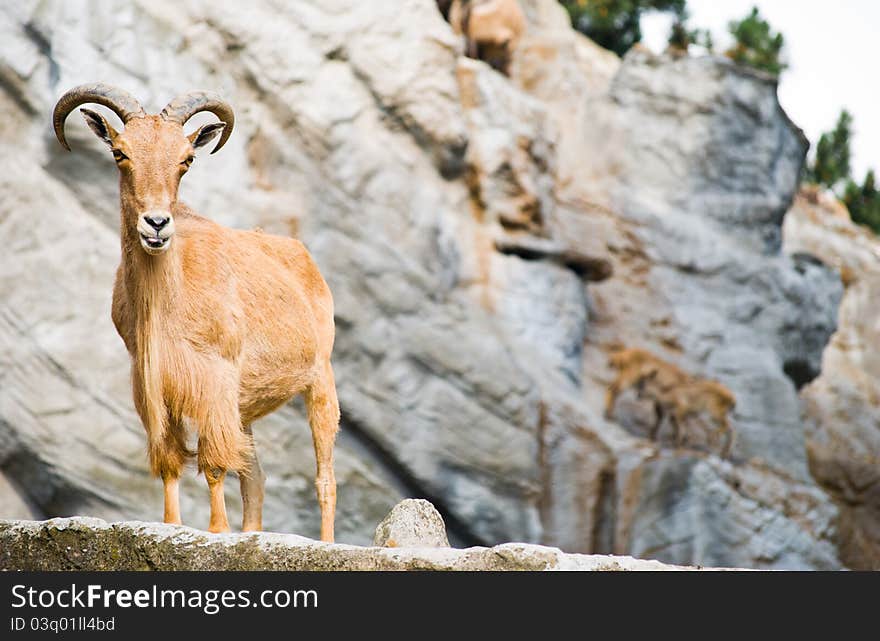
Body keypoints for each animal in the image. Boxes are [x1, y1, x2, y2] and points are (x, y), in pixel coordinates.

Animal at [52, 82, 340, 536]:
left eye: (186, 159)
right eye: (120, 152)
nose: (156, 224)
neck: (170, 302)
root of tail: (301, 255)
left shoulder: (214, 380)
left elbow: (214, 461)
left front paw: (217, 530)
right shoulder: (153, 384)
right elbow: (171, 461)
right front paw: (171, 524)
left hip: (320, 377)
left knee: (324, 479)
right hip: (246, 406)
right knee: (255, 478)